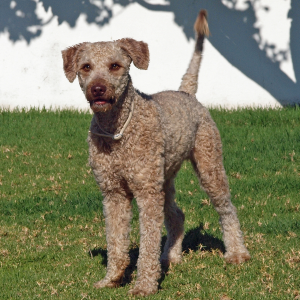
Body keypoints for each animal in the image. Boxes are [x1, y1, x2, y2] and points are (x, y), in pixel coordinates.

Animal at [61, 10, 248, 296]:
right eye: (86, 67)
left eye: (115, 66)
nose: (98, 89)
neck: (118, 129)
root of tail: (186, 92)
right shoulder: (113, 193)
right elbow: (116, 240)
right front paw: (112, 278)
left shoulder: (146, 192)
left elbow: (147, 241)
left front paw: (145, 285)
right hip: (165, 178)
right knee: (177, 216)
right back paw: (170, 256)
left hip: (208, 164)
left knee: (226, 209)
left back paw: (237, 253)